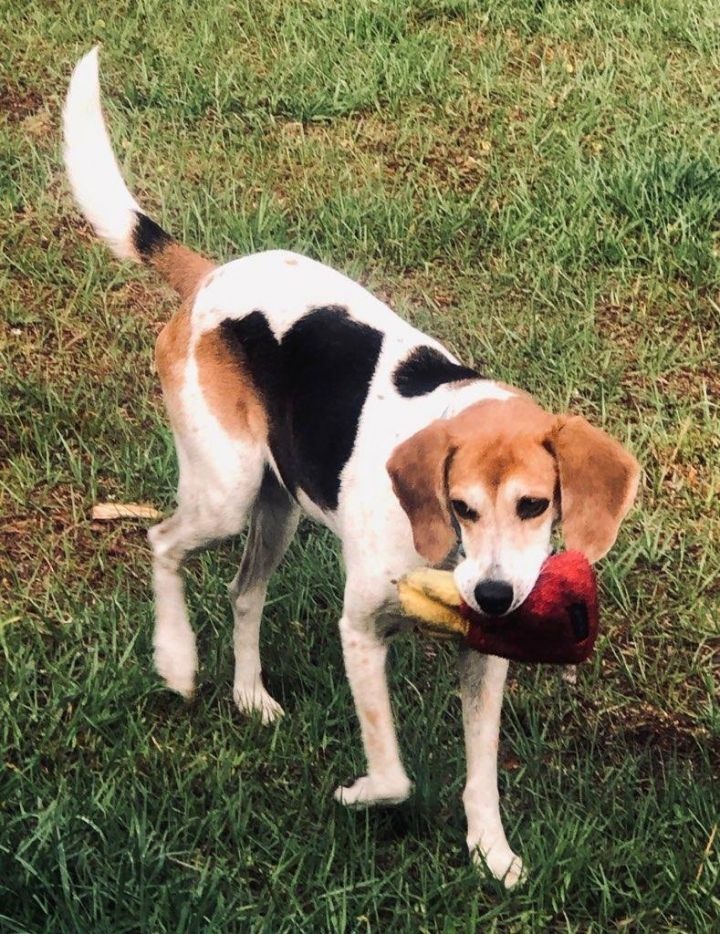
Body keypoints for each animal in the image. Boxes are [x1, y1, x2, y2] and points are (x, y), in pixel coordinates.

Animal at [60, 47, 636, 888]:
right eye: (460, 506)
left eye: (535, 505)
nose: (497, 596)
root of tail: (210, 276)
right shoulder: (360, 630)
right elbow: (394, 771)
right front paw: (360, 794)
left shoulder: (484, 656)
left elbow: (480, 773)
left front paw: (490, 851)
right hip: (225, 493)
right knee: (162, 544)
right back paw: (176, 661)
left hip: (279, 507)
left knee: (243, 594)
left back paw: (248, 695)